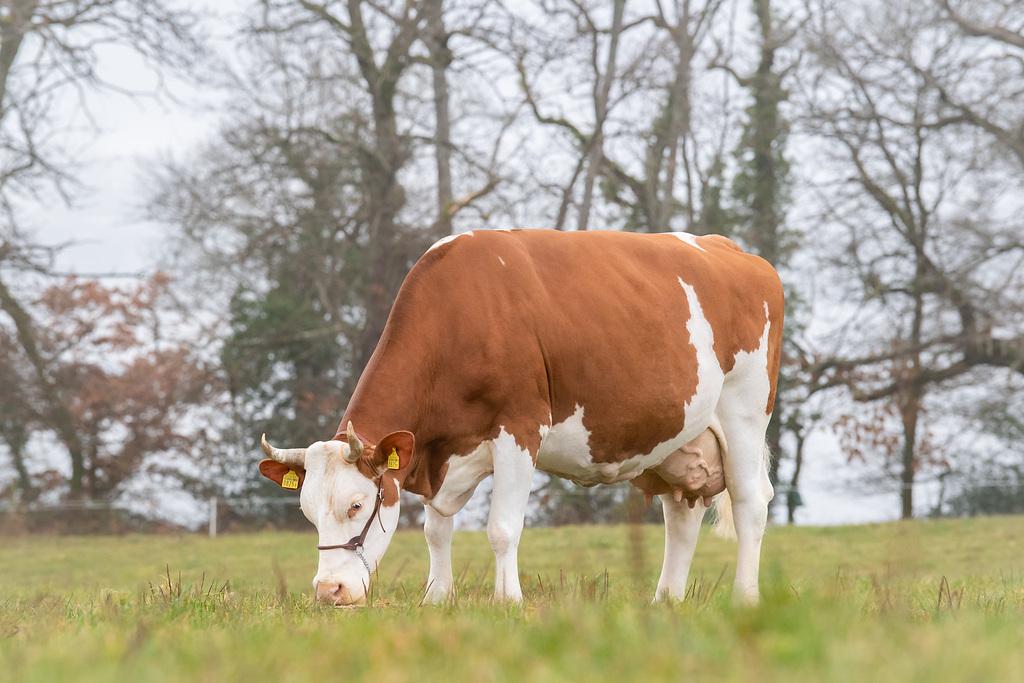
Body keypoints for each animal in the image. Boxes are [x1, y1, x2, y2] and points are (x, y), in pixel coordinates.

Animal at [258, 229, 784, 607]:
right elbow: (435, 529)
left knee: (750, 505)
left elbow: (502, 528)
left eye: (356, 505)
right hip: (680, 442)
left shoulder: (519, 428)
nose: (329, 592)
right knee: (681, 516)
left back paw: (746, 598)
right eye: (307, 512)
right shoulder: (441, 452)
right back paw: (665, 601)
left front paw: (508, 601)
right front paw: (437, 598)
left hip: (744, 412)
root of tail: (733, 249)